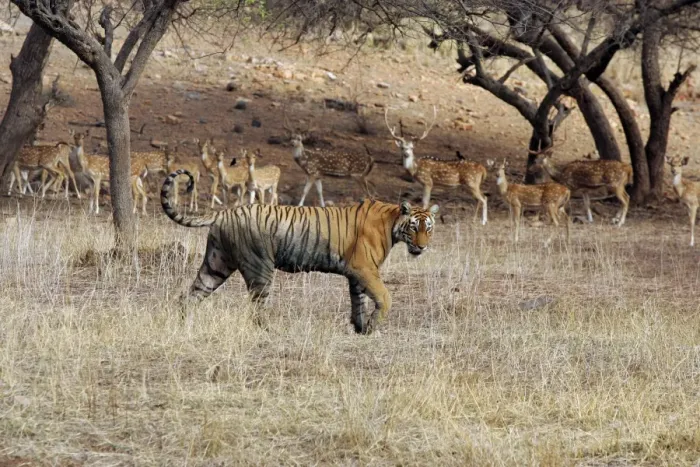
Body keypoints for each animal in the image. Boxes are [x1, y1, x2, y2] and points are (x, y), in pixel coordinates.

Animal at [161, 169, 439, 334]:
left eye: (429, 229)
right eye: (414, 228)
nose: (422, 247)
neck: (393, 223)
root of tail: (225, 213)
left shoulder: (357, 273)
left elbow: (358, 301)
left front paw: (361, 328)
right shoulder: (364, 268)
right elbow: (384, 297)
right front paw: (372, 326)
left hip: (217, 263)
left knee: (192, 294)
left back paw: (184, 325)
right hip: (259, 267)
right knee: (256, 306)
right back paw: (269, 331)